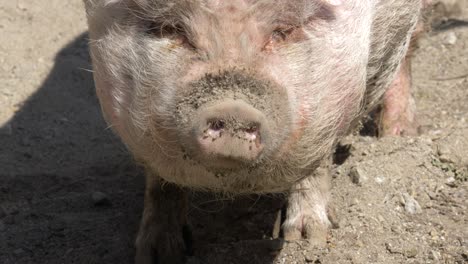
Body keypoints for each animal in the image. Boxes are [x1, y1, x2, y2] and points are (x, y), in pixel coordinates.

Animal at [83, 1, 428, 262]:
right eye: (171, 29)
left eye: (283, 31)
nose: (232, 109)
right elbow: (160, 183)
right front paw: (157, 253)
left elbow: (317, 165)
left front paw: (308, 239)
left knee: (412, 45)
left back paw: (399, 134)